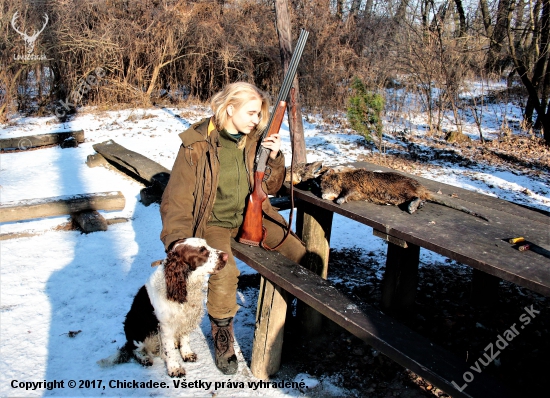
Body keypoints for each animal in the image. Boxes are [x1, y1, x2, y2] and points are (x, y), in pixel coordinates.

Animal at [99, 238, 229, 378]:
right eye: (202, 250)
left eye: (207, 245)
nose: (226, 256)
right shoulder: (165, 327)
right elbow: (169, 350)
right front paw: (175, 369)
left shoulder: (186, 319)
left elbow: (185, 339)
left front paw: (187, 354)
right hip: (135, 328)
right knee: (134, 349)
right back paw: (145, 358)